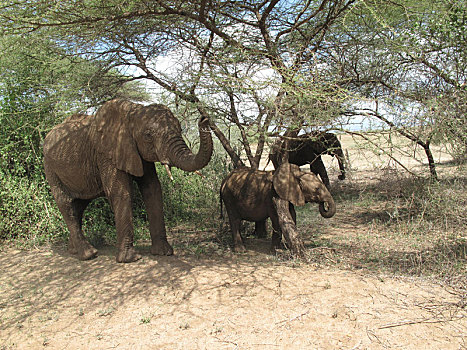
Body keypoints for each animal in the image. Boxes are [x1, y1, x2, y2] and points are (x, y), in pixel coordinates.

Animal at [42, 98, 214, 262]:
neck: (134, 111)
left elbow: (152, 189)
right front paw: (130, 259)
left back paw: (73, 251)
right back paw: (89, 254)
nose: (204, 119)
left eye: (180, 129)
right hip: (50, 168)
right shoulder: (107, 153)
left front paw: (164, 253)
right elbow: (120, 193)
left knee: (79, 205)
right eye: (148, 135)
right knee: (65, 203)